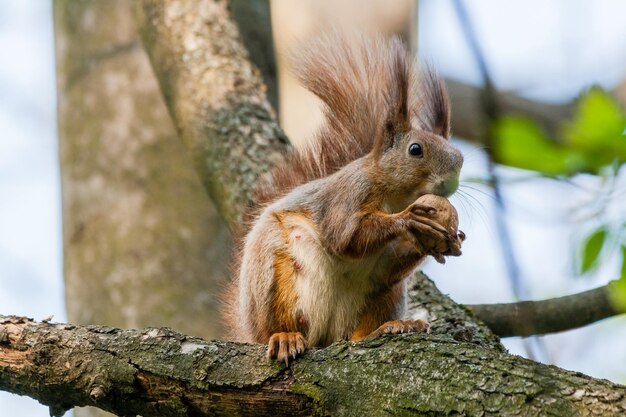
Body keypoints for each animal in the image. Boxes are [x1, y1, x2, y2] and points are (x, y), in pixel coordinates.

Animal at [223, 31, 464, 364]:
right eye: (415, 149)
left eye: (460, 159)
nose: (450, 182)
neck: (396, 198)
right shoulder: (348, 193)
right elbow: (345, 237)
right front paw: (408, 221)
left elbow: (389, 262)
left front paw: (446, 240)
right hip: (272, 272)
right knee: (278, 321)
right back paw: (285, 336)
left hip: (385, 295)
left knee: (359, 334)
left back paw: (392, 326)